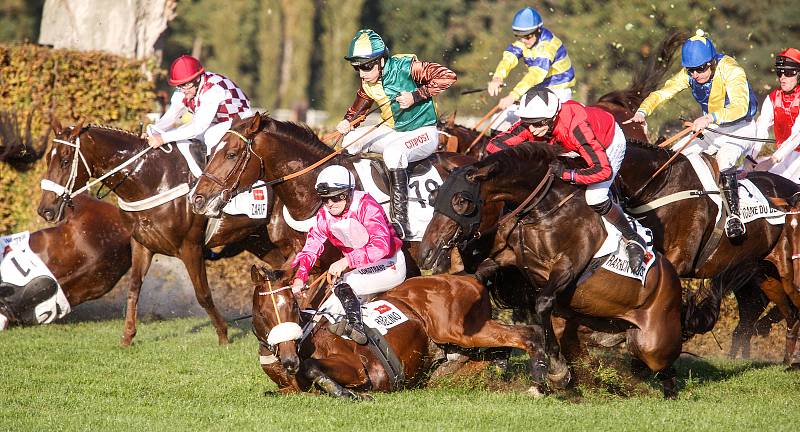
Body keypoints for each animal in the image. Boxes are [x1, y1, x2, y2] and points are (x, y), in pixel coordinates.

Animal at [36, 116, 304, 346]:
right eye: (49, 158)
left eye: (65, 160)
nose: (45, 210)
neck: (152, 179)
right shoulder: (142, 245)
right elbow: (133, 289)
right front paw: (127, 337)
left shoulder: (190, 247)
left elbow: (202, 294)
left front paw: (223, 335)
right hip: (259, 241)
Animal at [248, 266, 544, 402]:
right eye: (263, 313)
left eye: (292, 306)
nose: (289, 360)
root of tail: (473, 276)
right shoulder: (290, 388)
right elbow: (274, 392)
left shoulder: (360, 369)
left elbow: (312, 367)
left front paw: (348, 393)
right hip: (455, 357)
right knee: (502, 349)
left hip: (459, 330)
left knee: (528, 334)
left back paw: (542, 384)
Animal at [418, 144, 688, 398]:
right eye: (434, 197)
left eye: (461, 201)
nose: (426, 252)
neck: (544, 208)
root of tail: (675, 283)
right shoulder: (508, 257)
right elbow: (481, 274)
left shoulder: (567, 265)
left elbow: (543, 303)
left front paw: (557, 371)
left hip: (653, 344)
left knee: (664, 367)